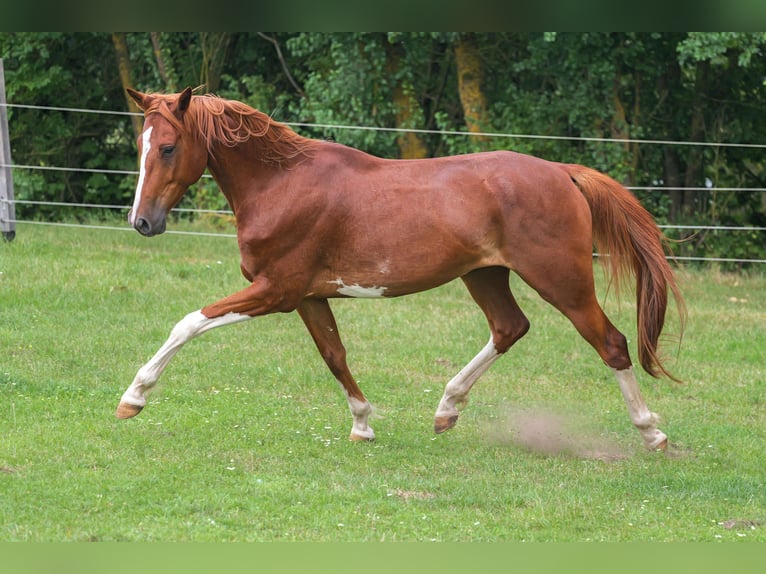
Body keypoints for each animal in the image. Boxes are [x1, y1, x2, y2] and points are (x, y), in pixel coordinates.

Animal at [116, 87, 685, 451]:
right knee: (510, 328)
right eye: (139, 146)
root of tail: (563, 173)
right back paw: (446, 409)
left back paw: (652, 432)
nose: (142, 222)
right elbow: (335, 356)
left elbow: (188, 323)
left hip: (561, 281)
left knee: (610, 343)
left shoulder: (275, 290)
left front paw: (133, 398)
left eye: (168, 147)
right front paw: (363, 425)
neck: (281, 184)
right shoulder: (309, 297)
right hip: (484, 275)